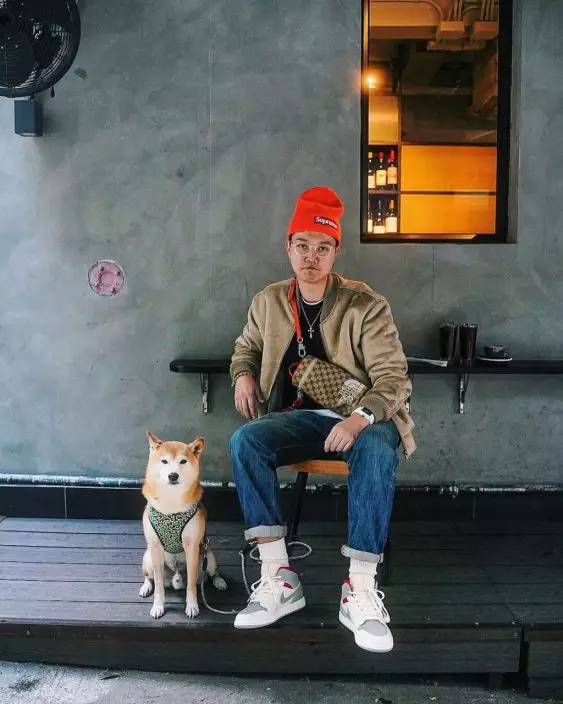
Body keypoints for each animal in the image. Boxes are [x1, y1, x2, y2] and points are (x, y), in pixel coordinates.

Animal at [139, 431, 226, 619]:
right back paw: (145, 587)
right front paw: (158, 606)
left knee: (212, 572)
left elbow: (192, 584)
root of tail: (175, 578)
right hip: (148, 558)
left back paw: (219, 581)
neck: (171, 505)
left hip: (208, 556)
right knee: (149, 577)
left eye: (183, 461)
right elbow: (158, 584)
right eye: (164, 461)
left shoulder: (192, 546)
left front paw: (192, 606)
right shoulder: (155, 546)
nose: (173, 475)